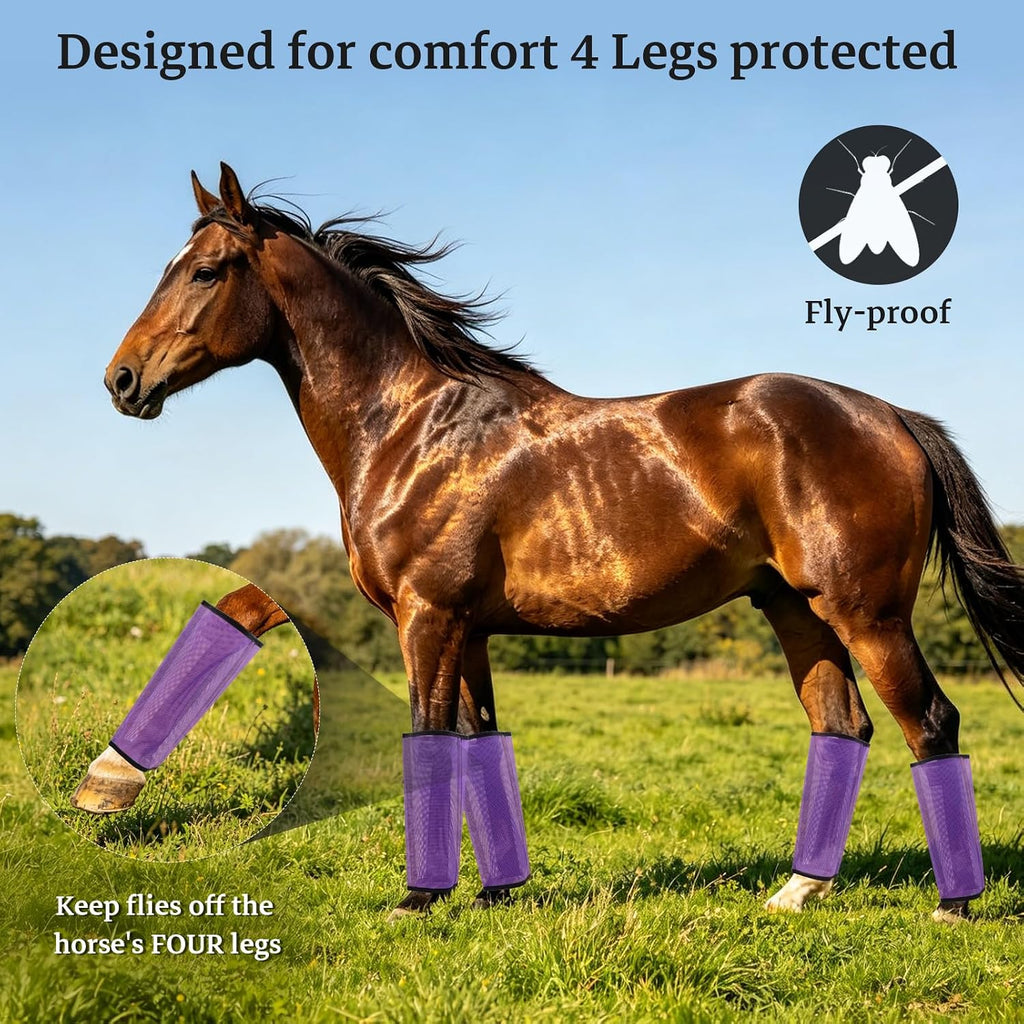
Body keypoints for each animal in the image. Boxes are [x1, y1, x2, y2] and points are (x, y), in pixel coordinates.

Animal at [105, 163, 1024, 922]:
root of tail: (891, 416)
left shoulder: (426, 617)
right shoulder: (468, 629)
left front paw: (417, 899)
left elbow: (428, 736)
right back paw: (796, 893)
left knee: (929, 723)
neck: (411, 428)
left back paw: (953, 906)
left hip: (867, 614)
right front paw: (494, 891)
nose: (122, 380)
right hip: (795, 609)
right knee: (842, 725)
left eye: (206, 270)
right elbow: (477, 740)